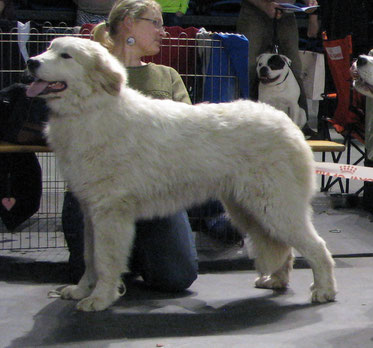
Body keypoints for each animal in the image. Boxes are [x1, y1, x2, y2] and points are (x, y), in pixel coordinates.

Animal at [25, 36, 334, 312]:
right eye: (49, 48)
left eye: (66, 56)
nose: (30, 61)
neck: (91, 108)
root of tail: (288, 124)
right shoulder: (91, 212)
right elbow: (89, 257)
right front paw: (81, 290)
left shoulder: (109, 213)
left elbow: (104, 259)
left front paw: (100, 299)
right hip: (249, 210)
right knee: (284, 249)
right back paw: (277, 281)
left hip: (275, 208)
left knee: (317, 247)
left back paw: (324, 291)